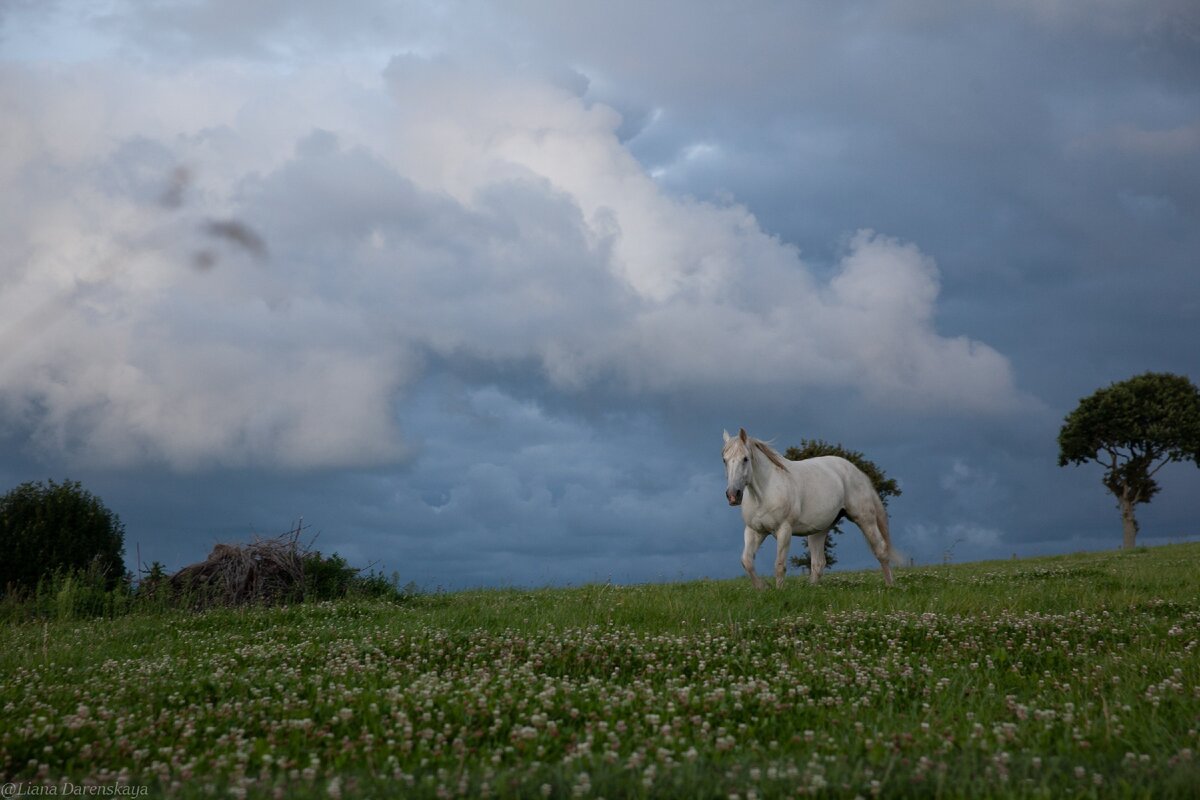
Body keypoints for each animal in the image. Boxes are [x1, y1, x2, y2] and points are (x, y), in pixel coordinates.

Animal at [715, 424, 897, 587]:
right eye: (724, 460)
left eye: (745, 459)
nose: (733, 495)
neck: (764, 493)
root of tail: (856, 471)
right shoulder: (755, 531)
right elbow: (746, 561)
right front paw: (762, 587)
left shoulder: (784, 530)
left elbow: (779, 566)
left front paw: (778, 591)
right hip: (819, 530)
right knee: (818, 563)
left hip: (864, 519)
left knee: (880, 549)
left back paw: (890, 585)